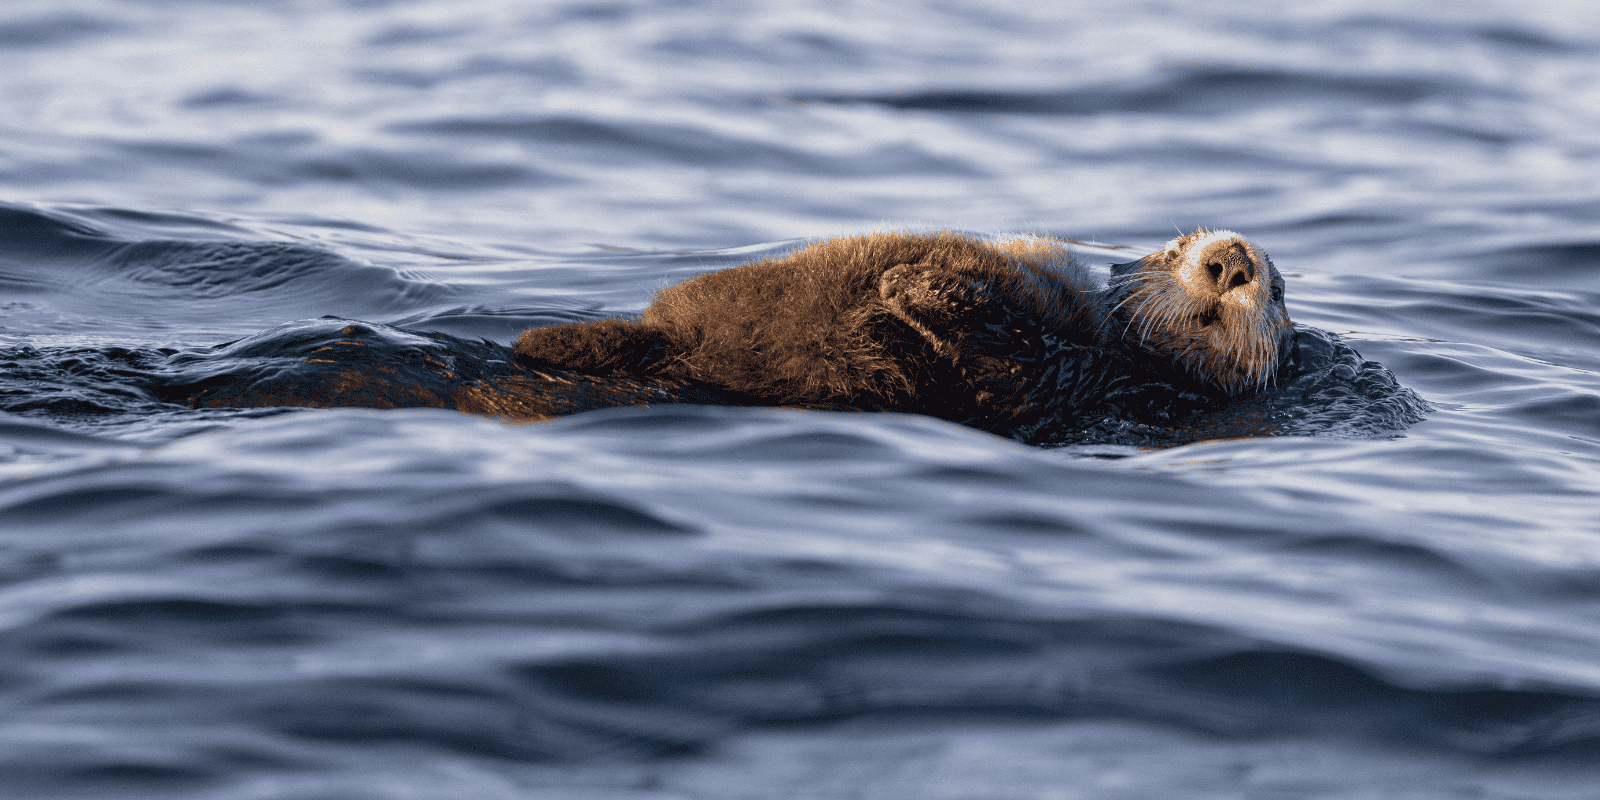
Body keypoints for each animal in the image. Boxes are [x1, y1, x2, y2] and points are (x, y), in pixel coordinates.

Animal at [511, 229, 1294, 426]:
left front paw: (911, 285)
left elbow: (1006, 355)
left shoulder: (1067, 377)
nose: (1231, 261)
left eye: (1279, 290)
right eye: (1176, 248)